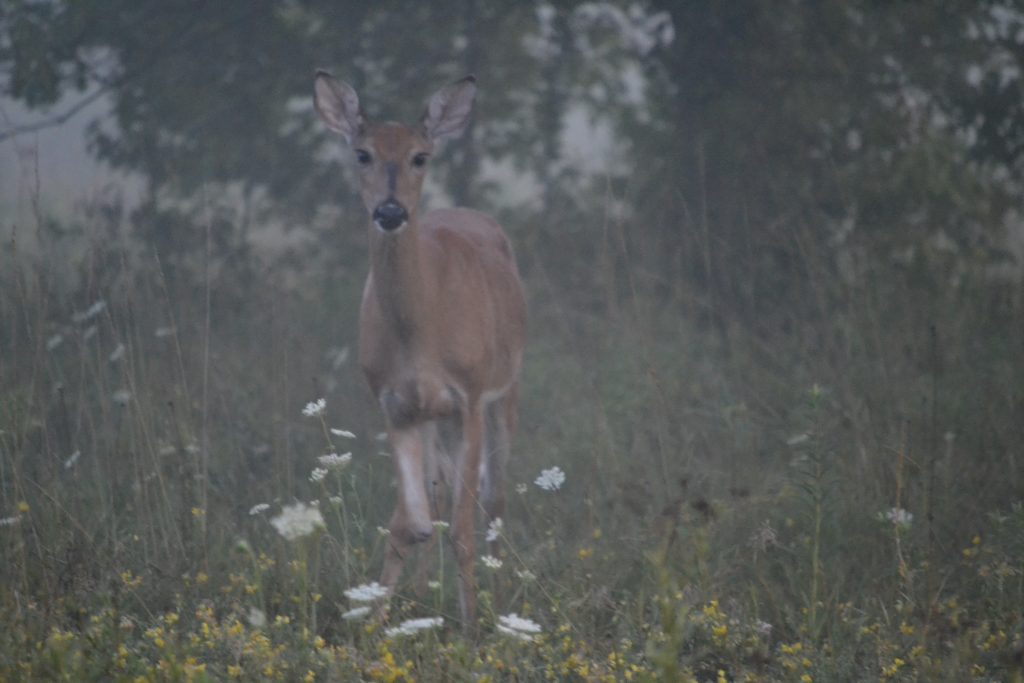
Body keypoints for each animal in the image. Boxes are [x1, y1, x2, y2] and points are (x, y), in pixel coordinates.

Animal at [313, 70, 528, 630]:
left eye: (420, 156)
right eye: (362, 153)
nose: (390, 211)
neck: (421, 334)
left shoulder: (468, 395)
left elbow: (462, 528)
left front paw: (472, 630)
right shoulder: (394, 403)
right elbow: (411, 522)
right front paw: (376, 625)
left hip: (505, 387)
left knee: (494, 498)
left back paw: (499, 593)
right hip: (434, 418)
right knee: (436, 494)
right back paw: (422, 591)